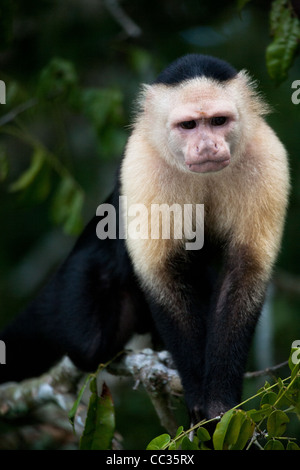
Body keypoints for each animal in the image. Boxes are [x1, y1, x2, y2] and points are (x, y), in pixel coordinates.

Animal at [0, 54, 290, 422]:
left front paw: (218, 402)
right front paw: (198, 396)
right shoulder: (141, 163)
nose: (207, 145)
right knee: (88, 343)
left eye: (218, 121)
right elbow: (162, 273)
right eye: (189, 126)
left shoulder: (268, 157)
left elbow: (243, 272)